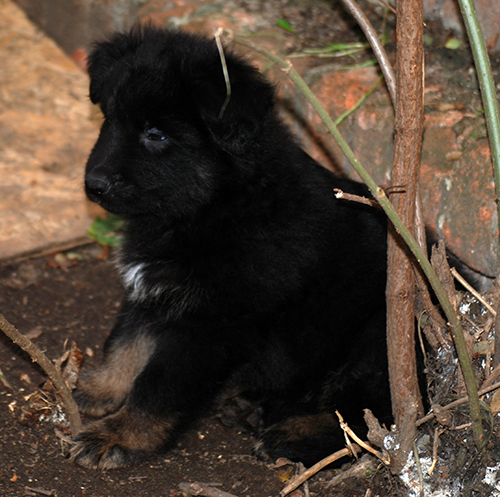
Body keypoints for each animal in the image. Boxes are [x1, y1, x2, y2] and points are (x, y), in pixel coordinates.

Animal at [69, 27, 390, 469]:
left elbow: (159, 386)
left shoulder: (214, 323)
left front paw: (119, 435)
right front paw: (101, 387)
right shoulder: (154, 290)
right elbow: (126, 344)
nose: (94, 185)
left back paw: (290, 435)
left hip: (378, 340)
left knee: (369, 417)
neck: (219, 204)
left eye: (156, 134)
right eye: (109, 119)